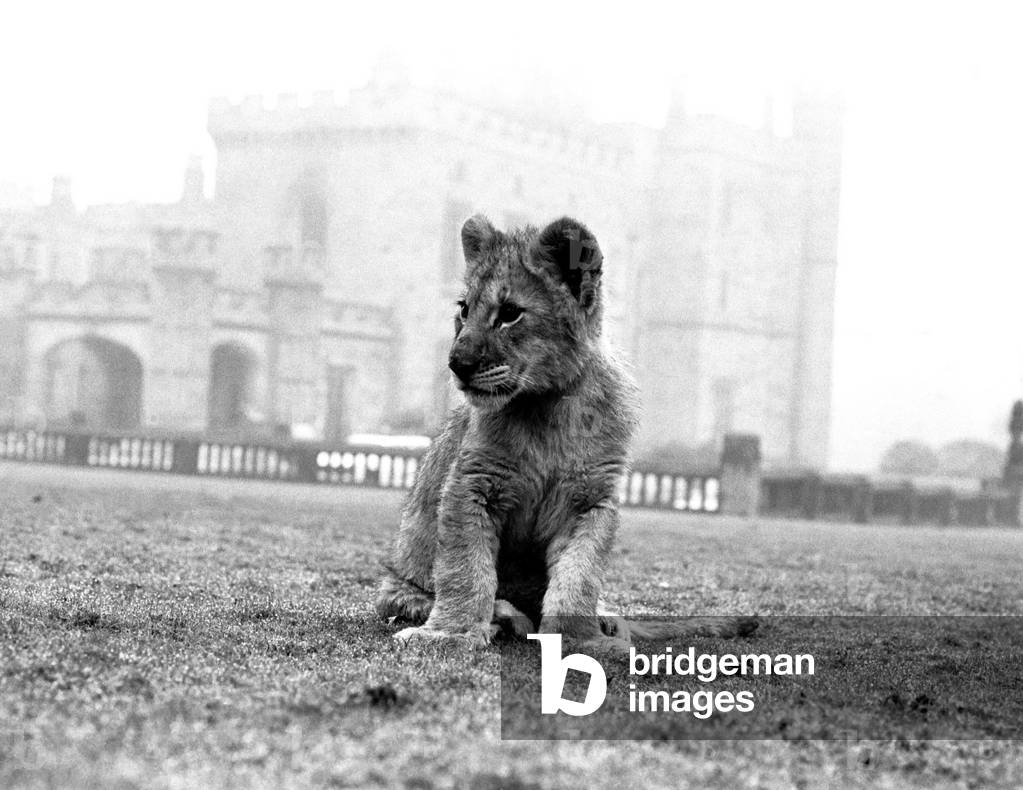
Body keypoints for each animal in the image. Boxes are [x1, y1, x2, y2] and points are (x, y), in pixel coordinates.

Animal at [375, 214, 756, 650]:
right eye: (464, 309)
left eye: (510, 313)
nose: (457, 363)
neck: (548, 408)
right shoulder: (471, 485)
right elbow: (465, 569)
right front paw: (448, 633)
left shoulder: (589, 499)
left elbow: (579, 575)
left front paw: (581, 641)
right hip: (396, 587)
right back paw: (504, 616)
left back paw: (605, 622)